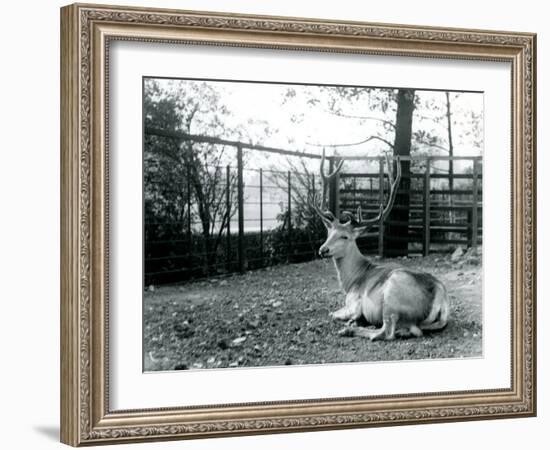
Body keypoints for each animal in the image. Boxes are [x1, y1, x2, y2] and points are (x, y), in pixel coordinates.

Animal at [312, 151, 450, 342]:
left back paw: (350, 330)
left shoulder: (354, 303)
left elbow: (333, 314)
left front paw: (350, 321)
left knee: (387, 332)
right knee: (414, 330)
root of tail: (439, 293)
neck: (352, 281)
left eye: (345, 236)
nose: (323, 250)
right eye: (328, 233)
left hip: (392, 297)